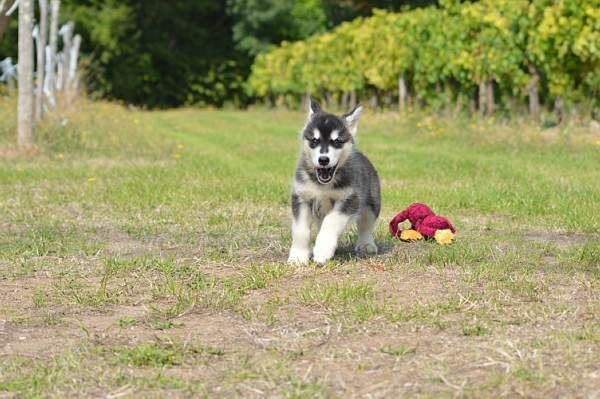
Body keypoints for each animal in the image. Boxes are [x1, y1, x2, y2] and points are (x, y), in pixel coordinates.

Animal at [290, 97, 382, 266]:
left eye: (337, 141)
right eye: (314, 140)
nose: (323, 160)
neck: (323, 186)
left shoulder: (350, 199)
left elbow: (331, 222)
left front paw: (322, 250)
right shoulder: (301, 197)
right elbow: (300, 231)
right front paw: (298, 257)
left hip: (372, 203)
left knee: (366, 226)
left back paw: (366, 244)